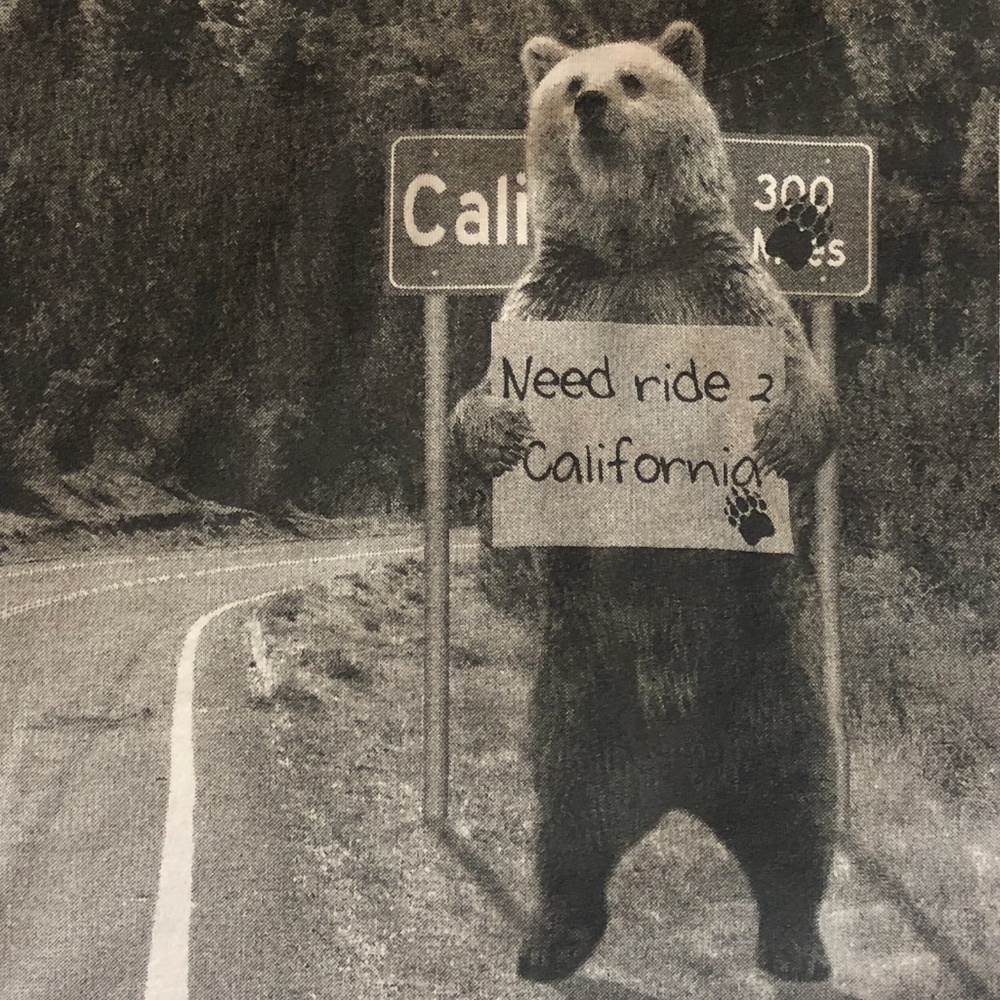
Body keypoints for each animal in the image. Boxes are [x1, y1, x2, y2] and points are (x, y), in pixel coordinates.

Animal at [450, 21, 840, 985]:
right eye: (569, 84)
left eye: (632, 79)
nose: (592, 104)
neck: (631, 248)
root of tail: (678, 781)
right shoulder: (558, 302)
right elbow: (482, 399)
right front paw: (500, 430)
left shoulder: (723, 294)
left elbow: (807, 387)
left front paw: (778, 438)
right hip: (578, 690)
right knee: (565, 827)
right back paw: (550, 938)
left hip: (774, 680)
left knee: (799, 810)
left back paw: (796, 942)